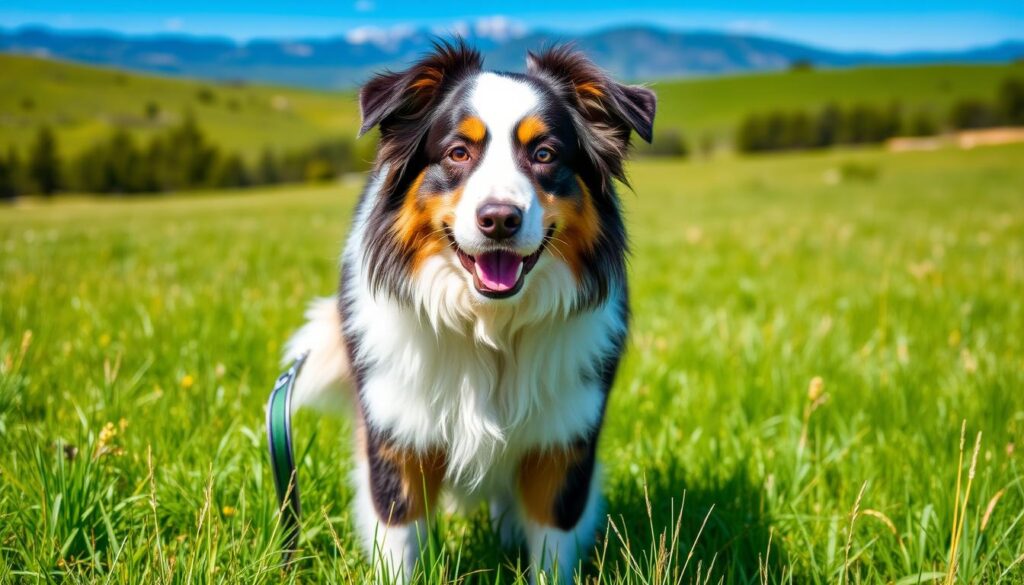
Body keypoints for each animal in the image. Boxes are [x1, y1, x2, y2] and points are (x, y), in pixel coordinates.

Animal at [284, 39, 659, 581]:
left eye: (544, 154)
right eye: (458, 152)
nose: (499, 219)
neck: (489, 328)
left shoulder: (562, 442)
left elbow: (550, 546)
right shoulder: (398, 437)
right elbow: (398, 538)